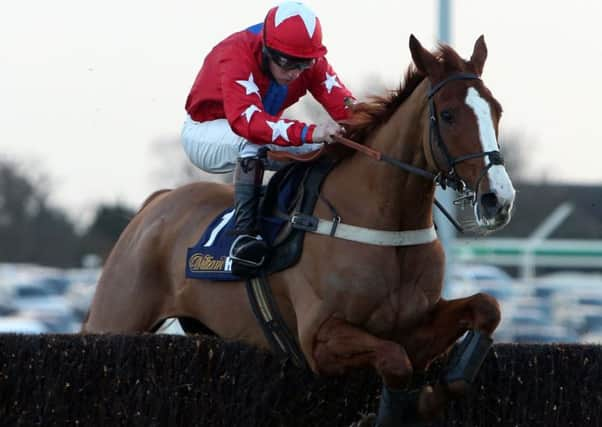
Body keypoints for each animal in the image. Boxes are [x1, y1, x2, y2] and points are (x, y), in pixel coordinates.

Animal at [82, 34, 516, 424]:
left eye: (496, 110)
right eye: (449, 114)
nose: (498, 198)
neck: (384, 225)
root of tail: (156, 204)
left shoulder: (413, 328)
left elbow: (485, 309)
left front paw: (431, 397)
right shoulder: (319, 339)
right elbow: (395, 361)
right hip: (117, 317)